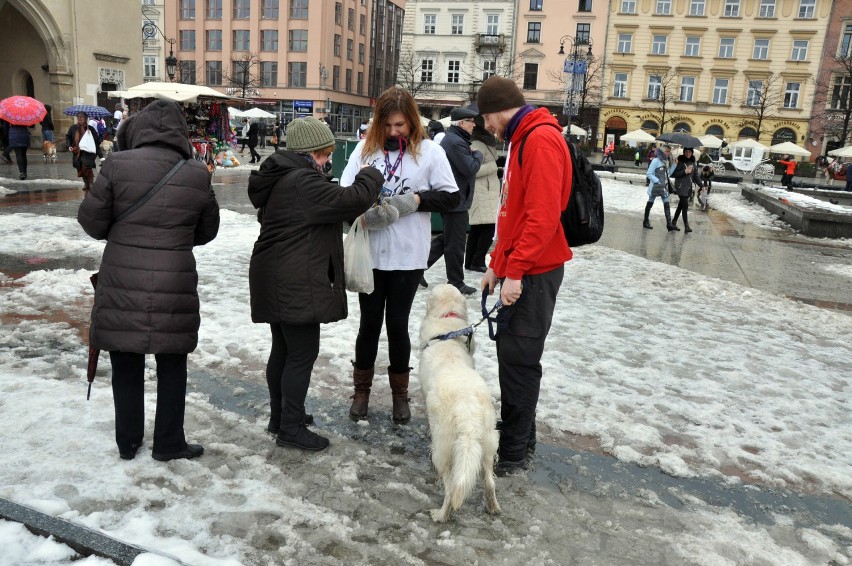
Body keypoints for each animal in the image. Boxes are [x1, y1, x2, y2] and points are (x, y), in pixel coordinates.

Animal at [418, 286, 500, 524]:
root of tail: (468, 411)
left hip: (444, 447)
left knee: (451, 486)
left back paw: (440, 515)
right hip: (488, 443)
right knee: (489, 481)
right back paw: (493, 507)